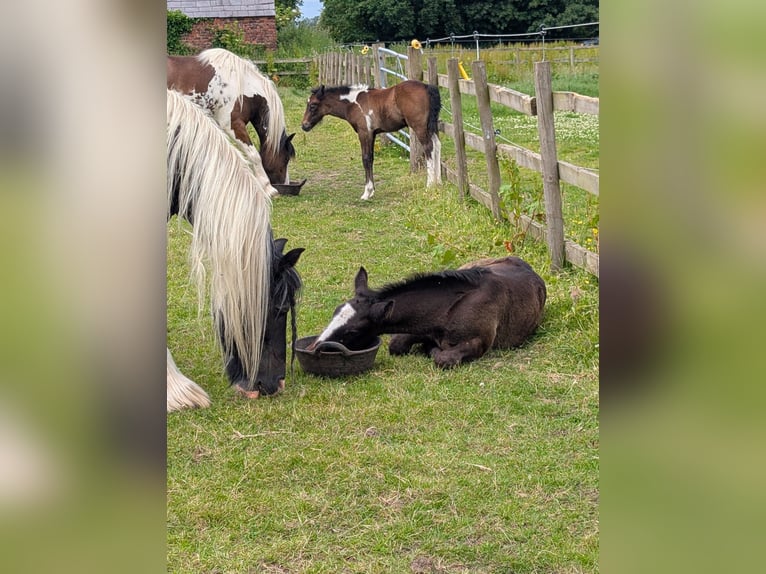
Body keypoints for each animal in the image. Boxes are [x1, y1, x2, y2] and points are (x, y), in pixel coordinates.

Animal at [167, 48, 297, 189]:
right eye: (286, 158)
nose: (285, 183)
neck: (244, 87)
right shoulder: (234, 125)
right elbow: (254, 155)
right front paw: (266, 186)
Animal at [300, 80, 442, 200]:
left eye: (313, 105)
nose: (304, 125)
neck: (353, 103)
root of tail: (426, 87)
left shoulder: (364, 133)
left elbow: (366, 158)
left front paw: (367, 192)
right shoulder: (372, 134)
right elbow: (371, 158)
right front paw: (372, 190)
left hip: (419, 127)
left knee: (429, 148)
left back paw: (430, 185)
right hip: (432, 127)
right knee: (437, 146)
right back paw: (438, 182)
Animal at [310, 257, 546, 368]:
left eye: (352, 332)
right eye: (335, 312)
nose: (313, 347)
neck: (446, 313)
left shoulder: (479, 343)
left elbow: (443, 358)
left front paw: (430, 348)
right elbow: (397, 344)